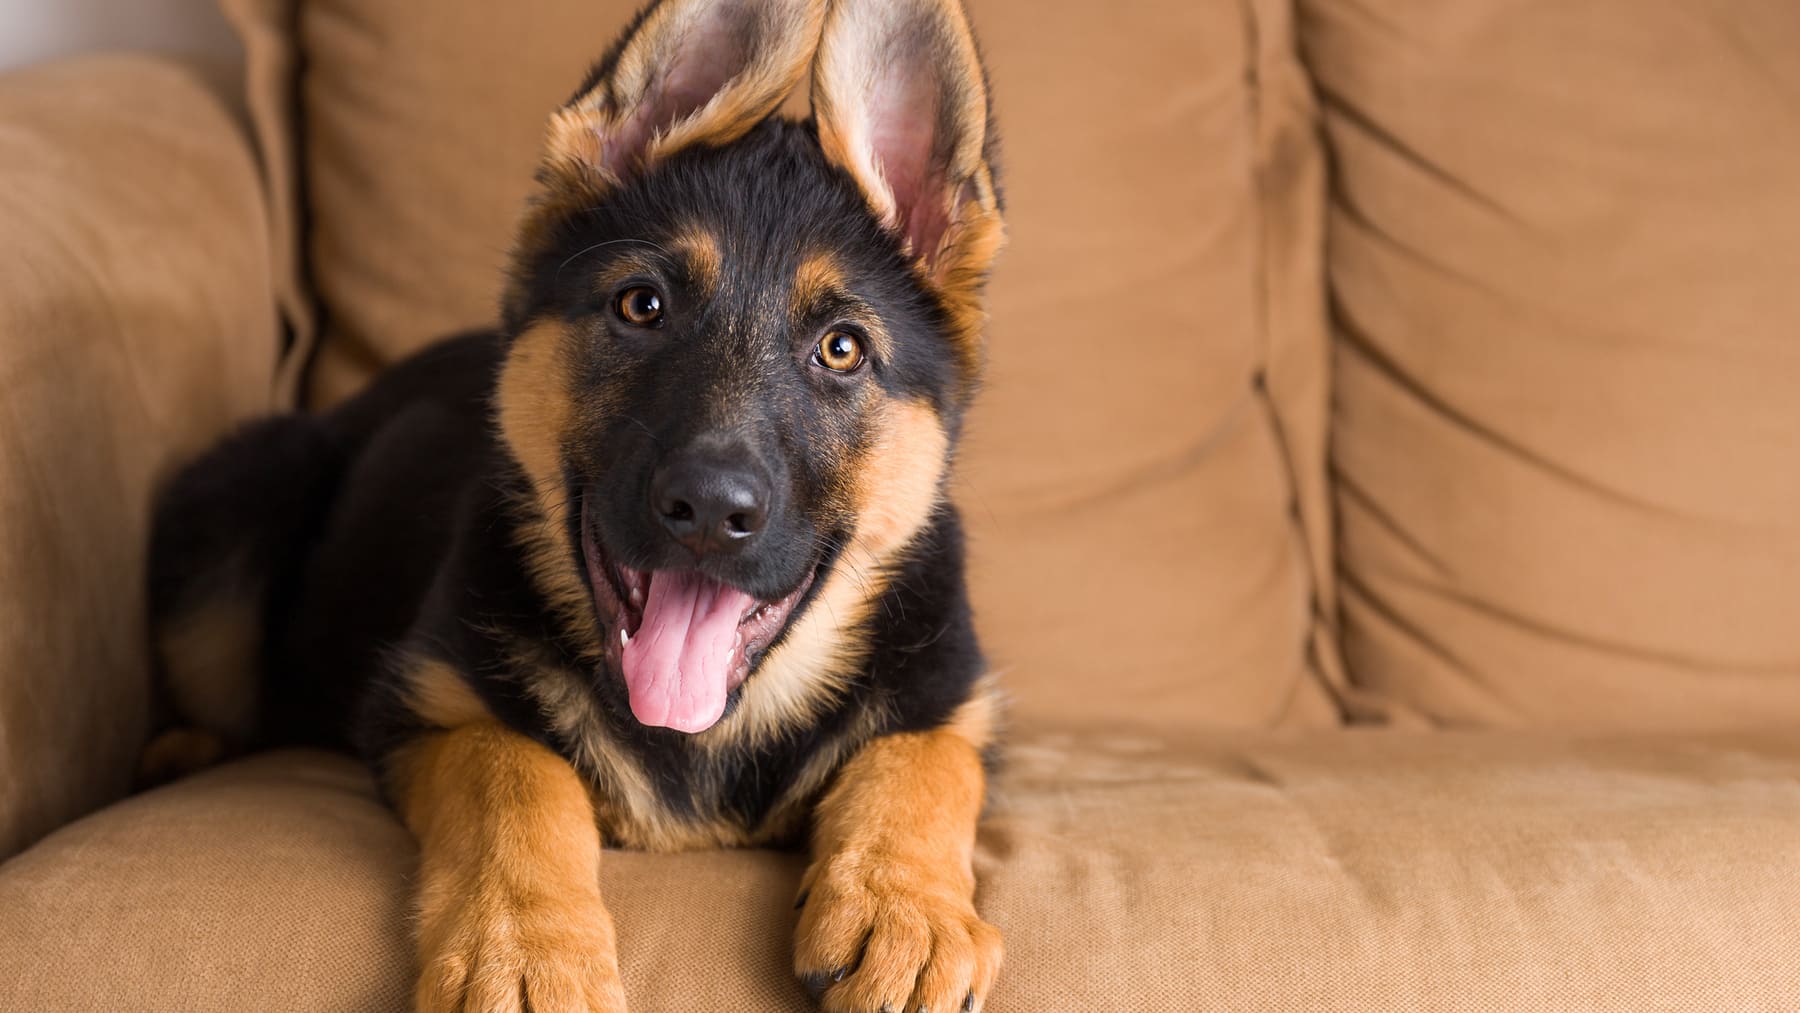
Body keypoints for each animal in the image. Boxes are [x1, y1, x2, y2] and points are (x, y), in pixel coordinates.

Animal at [140, 0, 1015, 1007]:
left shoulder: (954, 700)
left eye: (842, 349)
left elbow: (923, 758)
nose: (708, 509)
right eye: (643, 305)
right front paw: (523, 948)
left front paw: (904, 909)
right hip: (240, 507)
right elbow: (517, 772)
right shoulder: (434, 703)